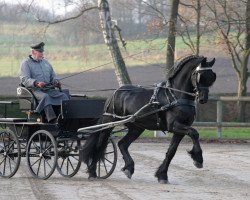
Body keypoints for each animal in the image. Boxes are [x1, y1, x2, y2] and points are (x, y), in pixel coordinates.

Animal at [82, 55, 217, 184]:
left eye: (212, 77)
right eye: (200, 76)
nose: (203, 99)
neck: (176, 96)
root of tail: (115, 93)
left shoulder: (181, 129)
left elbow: (171, 152)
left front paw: (162, 175)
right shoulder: (174, 126)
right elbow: (194, 133)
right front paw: (198, 159)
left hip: (136, 128)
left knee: (122, 144)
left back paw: (129, 168)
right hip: (109, 123)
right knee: (100, 144)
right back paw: (92, 172)